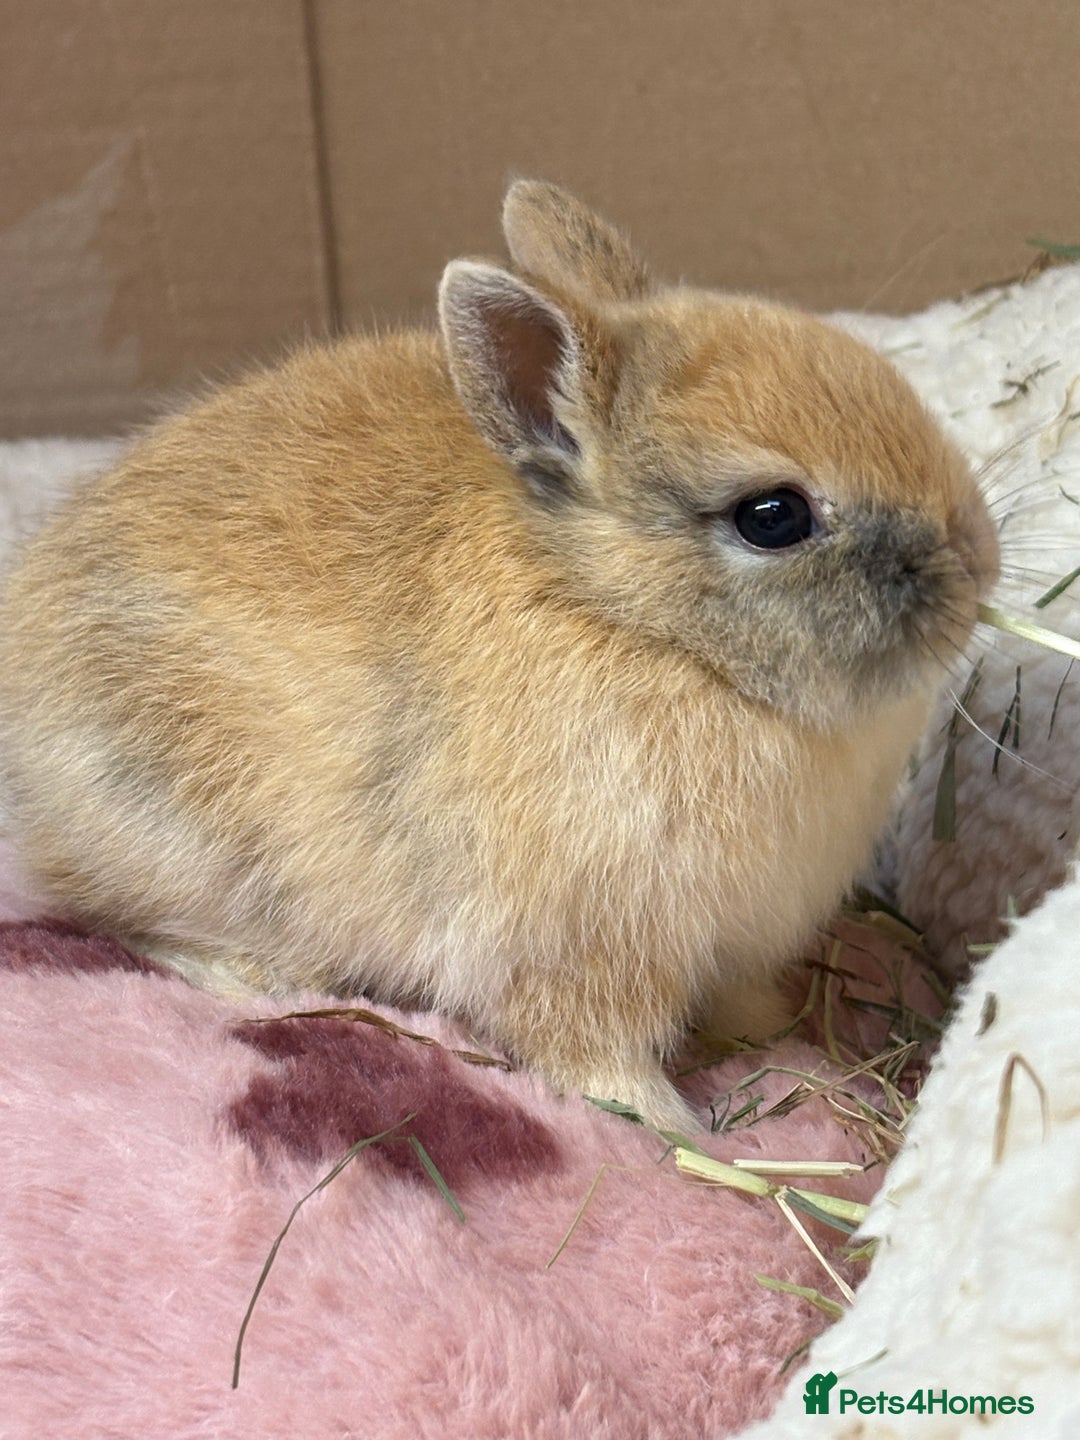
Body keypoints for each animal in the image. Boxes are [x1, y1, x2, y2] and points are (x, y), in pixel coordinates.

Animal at [0, 181, 999, 1131]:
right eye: (774, 516)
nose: (979, 567)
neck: (625, 617)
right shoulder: (582, 949)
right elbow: (595, 1050)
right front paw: (673, 1122)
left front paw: (774, 1033)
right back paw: (257, 980)